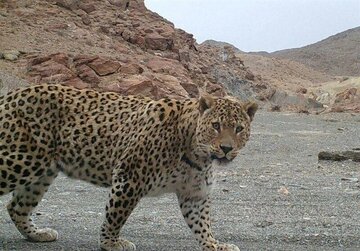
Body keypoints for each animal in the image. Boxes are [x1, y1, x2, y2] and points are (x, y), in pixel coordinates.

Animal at [0, 83, 258, 250]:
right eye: (216, 125)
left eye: (238, 129)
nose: (226, 148)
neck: (197, 152)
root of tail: (10, 95)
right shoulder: (130, 177)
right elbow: (116, 214)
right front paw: (111, 243)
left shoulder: (194, 192)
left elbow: (201, 223)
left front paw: (214, 244)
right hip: (20, 160)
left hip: (41, 172)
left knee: (17, 207)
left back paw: (37, 234)